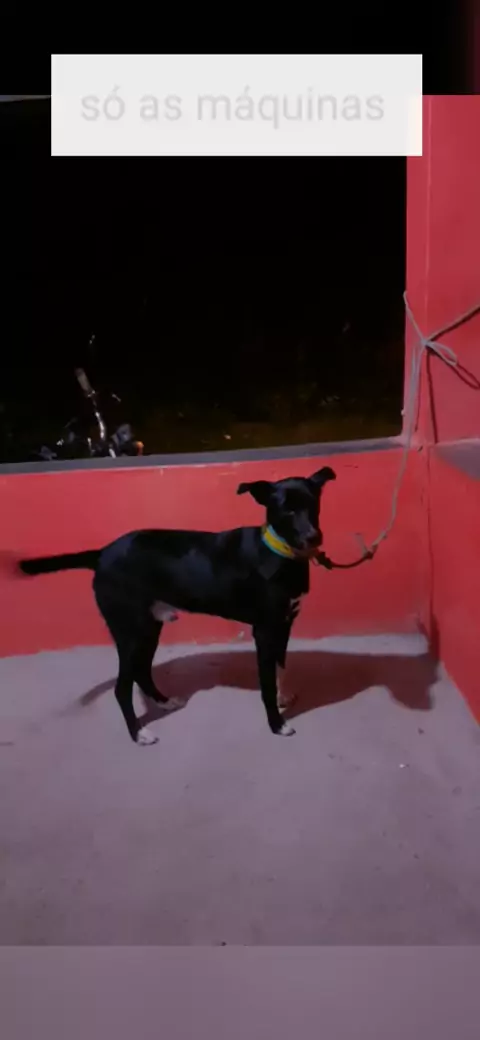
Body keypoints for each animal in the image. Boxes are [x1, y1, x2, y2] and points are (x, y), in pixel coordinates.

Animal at [19, 466, 336, 745]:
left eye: (313, 504)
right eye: (287, 510)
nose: (314, 537)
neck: (279, 551)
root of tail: (102, 553)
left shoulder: (284, 622)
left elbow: (280, 667)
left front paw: (283, 698)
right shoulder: (265, 630)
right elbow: (267, 684)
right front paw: (277, 724)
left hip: (149, 627)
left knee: (141, 671)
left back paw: (164, 702)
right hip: (130, 631)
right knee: (122, 688)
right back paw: (138, 734)